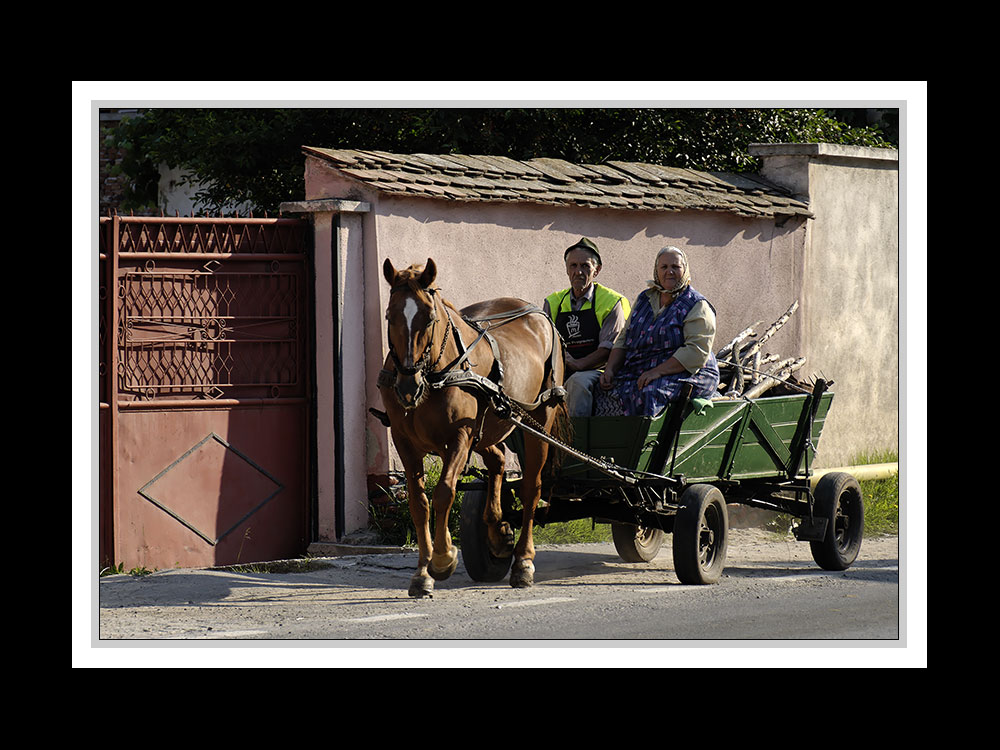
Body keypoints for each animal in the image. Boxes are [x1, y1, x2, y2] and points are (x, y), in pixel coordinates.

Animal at [376, 258, 568, 600]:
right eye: (389, 316)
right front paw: (422, 572)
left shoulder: (460, 437)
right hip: (491, 427)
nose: (408, 386)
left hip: (538, 421)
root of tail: (539, 315)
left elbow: (444, 492)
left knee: (531, 488)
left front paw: (442, 558)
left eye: (429, 317)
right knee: (498, 461)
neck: (436, 374)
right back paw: (498, 531)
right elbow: (419, 502)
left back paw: (523, 561)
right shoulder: (403, 440)